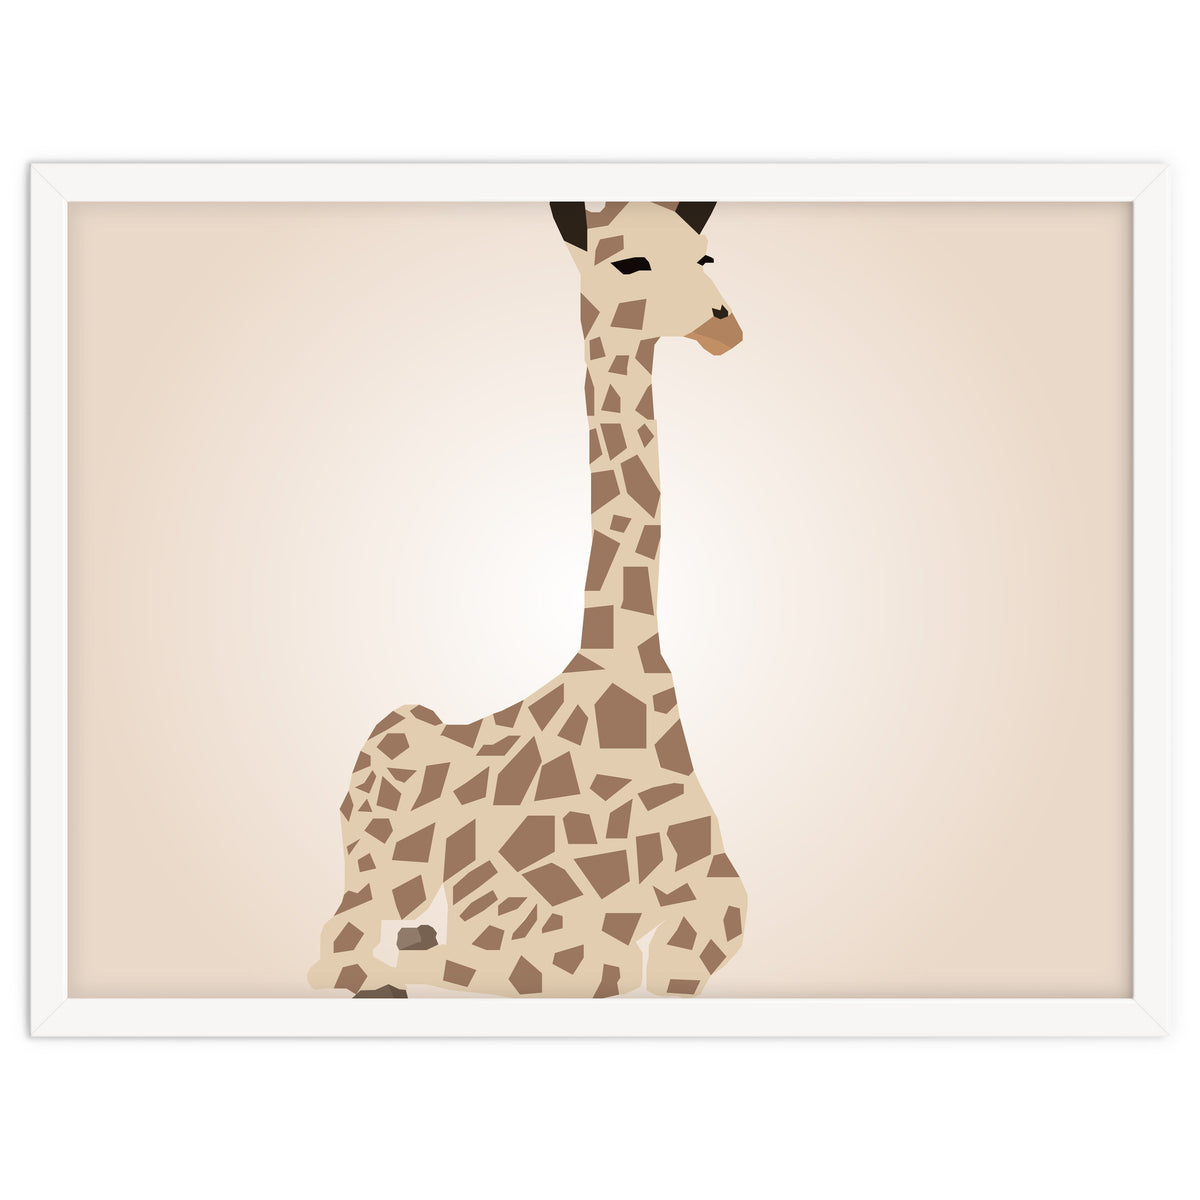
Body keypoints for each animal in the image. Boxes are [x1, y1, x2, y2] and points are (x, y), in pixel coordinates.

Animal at [308, 201, 747, 998]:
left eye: (704, 257)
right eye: (628, 262)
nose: (723, 327)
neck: (625, 678)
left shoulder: (716, 903)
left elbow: (681, 954)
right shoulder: (540, 945)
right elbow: (571, 964)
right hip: (380, 845)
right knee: (340, 947)